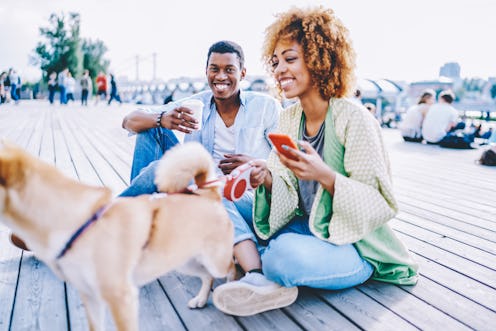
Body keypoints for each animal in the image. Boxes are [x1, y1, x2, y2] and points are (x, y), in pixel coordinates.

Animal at [0, 142, 235, 331]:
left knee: (230, 267)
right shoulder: (91, 298)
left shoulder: (122, 299)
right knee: (206, 276)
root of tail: (207, 195)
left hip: (215, 261)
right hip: (186, 262)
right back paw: (201, 299)